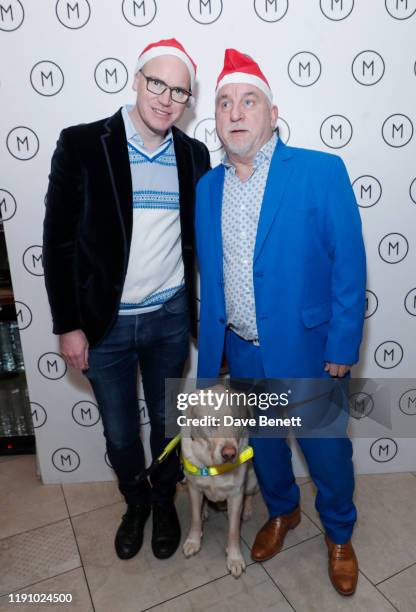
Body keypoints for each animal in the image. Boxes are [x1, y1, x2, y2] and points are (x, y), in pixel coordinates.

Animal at [181, 384, 258, 576]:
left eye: (237, 422)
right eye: (211, 423)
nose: (229, 454)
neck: (214, 467)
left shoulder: (236, 495)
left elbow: (233, 530)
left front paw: (234, 557)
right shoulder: (194, 488)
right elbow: (194, 518)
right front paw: (193, 541)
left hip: (251, 482)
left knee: (250, 496)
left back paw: (247, 511)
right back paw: (204, 511)